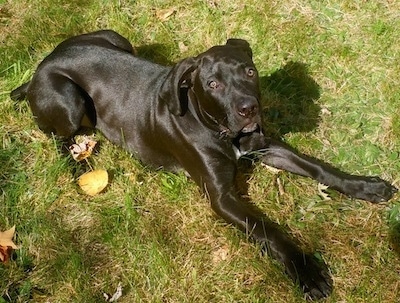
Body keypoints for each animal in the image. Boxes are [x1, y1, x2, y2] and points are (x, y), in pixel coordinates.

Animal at [10, 29, 396, 300]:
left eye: (251, 71)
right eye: (213, 84)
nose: (249, 109)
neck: (220, 130)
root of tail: (40, 66)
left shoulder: (264, 145)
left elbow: (318, 167)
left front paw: (366, 186)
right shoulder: (221, 196)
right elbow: (267, 229)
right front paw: (307, 272)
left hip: (117, 38)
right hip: (70, 101)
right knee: (58, 137)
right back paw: (79, 166)